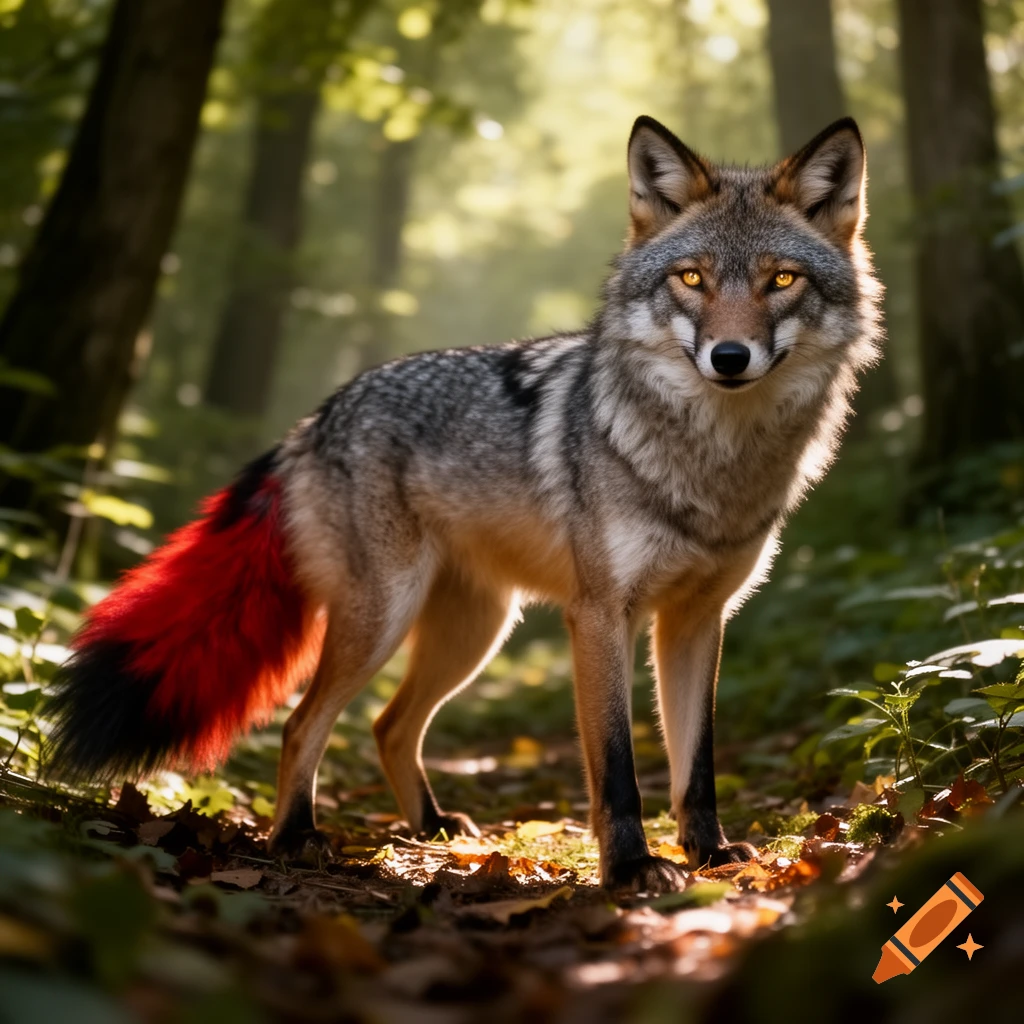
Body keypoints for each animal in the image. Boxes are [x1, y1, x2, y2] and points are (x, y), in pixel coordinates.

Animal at [48, 115, 881, 892]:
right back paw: (295, 838)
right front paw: (631, 870)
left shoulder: (697, 620)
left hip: (472, 635)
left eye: (781, 281)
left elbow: (695, 762)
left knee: (389, 726)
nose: (730, 358)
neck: (713, 468)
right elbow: (616, 768)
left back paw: (432, 829)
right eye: (692, 279)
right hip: (383, 622)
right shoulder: (600, 616)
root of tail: (316, 418)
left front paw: (708, 854)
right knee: (301, 725)